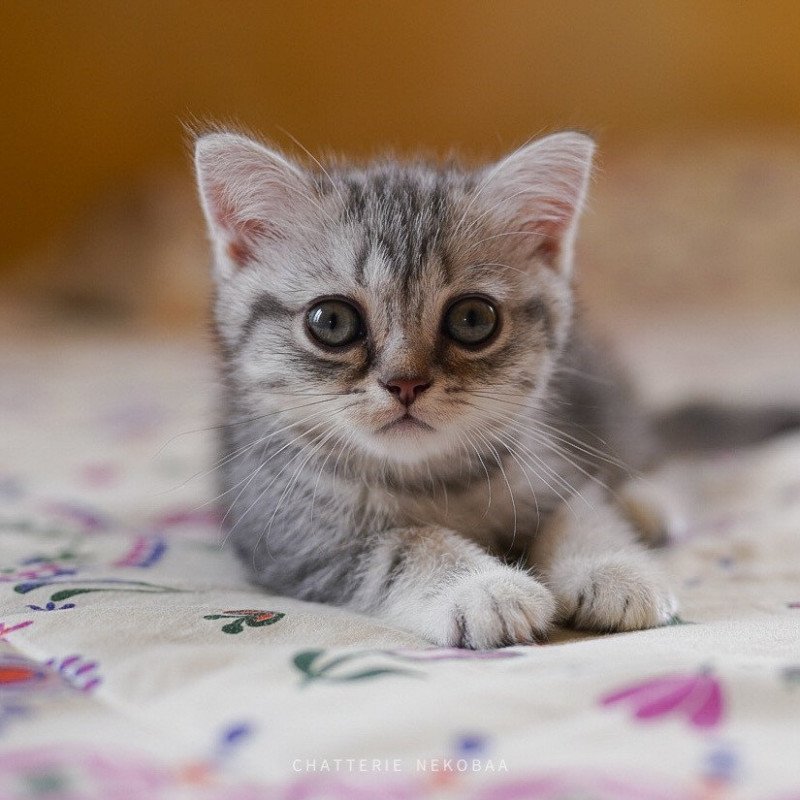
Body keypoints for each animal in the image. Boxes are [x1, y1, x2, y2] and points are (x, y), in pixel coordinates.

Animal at [192, 128, 676, 648]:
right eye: (332, 321)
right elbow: (407, 545)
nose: (405, 382)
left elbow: (580, 509)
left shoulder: (553, 454)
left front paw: (611, 570)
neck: (431, 479)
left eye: (473, 319)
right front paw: (484, 589)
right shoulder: (291, 539)